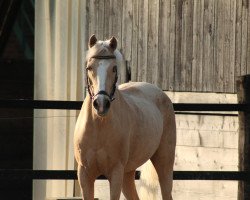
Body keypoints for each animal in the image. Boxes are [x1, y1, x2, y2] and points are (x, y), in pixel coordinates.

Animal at [73, 35, 176, 199]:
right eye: (89, 68)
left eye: (114, 68)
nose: (101, 104)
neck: (99, 127)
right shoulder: (84, 174)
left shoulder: (116, 173)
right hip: (128, 173)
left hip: (164, 162)